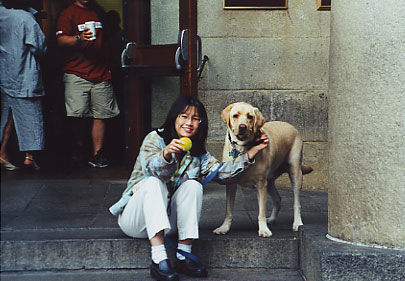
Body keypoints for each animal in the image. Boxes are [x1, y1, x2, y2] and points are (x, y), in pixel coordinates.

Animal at [213, 101, 310, 236]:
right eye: (235, 115)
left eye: (250, 117)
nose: (242, 127)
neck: (243, 149)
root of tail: (290, 125)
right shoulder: (231, 183)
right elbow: (228, 210)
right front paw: (224, 227)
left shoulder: (260, 184)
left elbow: (261, 212)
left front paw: (263, 229)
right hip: (269, 181)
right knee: (277, 199)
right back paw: (272, 219)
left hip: (295, 173)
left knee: (296, 203)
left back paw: (297, 223)